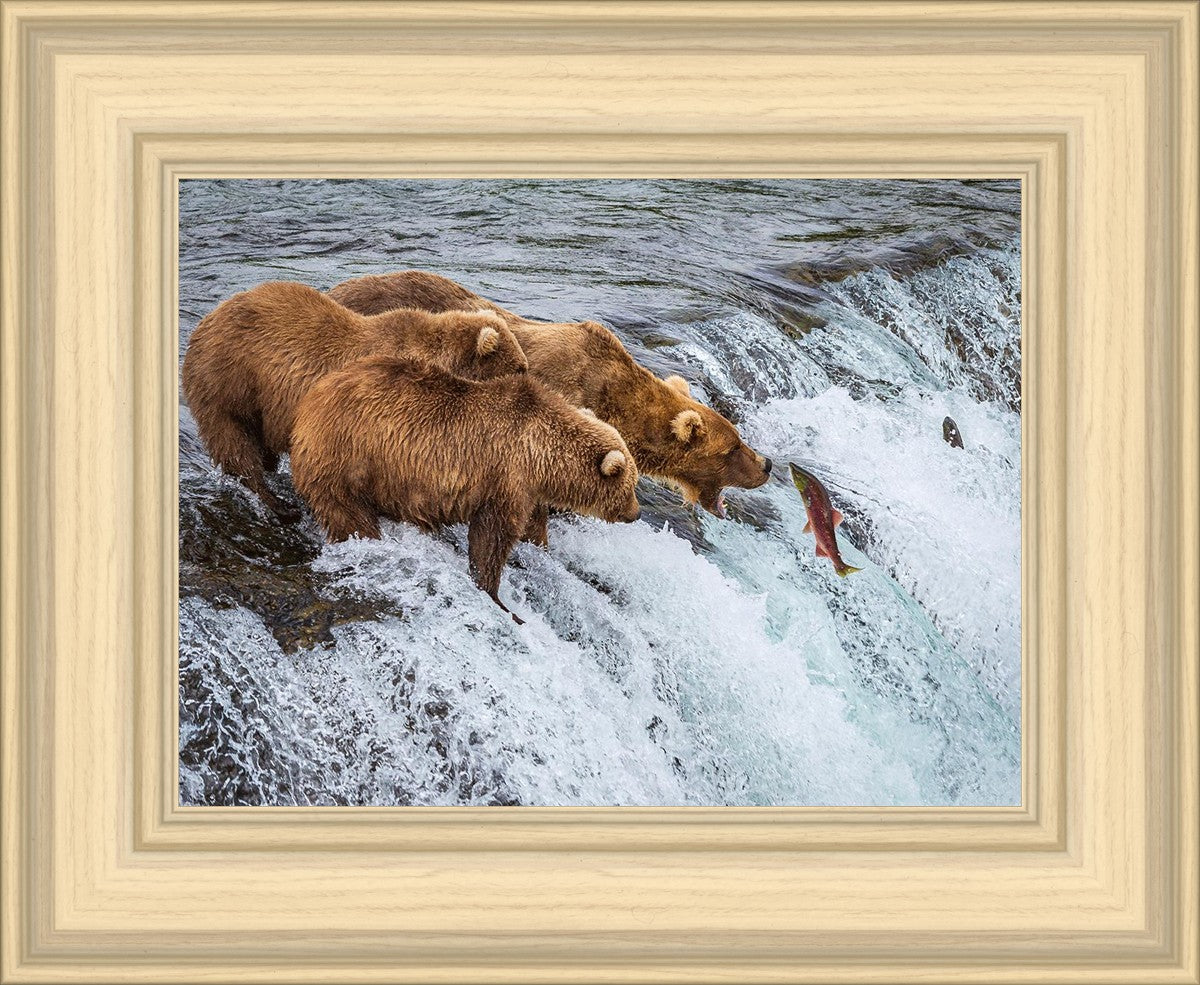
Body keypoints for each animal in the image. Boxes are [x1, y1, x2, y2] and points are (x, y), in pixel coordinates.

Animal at [181, 280, 528, 517]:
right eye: (520, 368)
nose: (530, 384)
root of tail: (205, 322)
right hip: (229, 382)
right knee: (235, 443)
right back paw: (276, 502)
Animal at [289, 356, 641, 622]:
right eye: (631, 486)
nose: (636, 513)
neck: (541, 455)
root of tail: (309, 402)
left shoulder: (527, 490)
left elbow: (531, 527)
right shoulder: (505, 477)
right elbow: (492, 537)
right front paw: (498, 597)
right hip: (347, 458)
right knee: (349, 514)